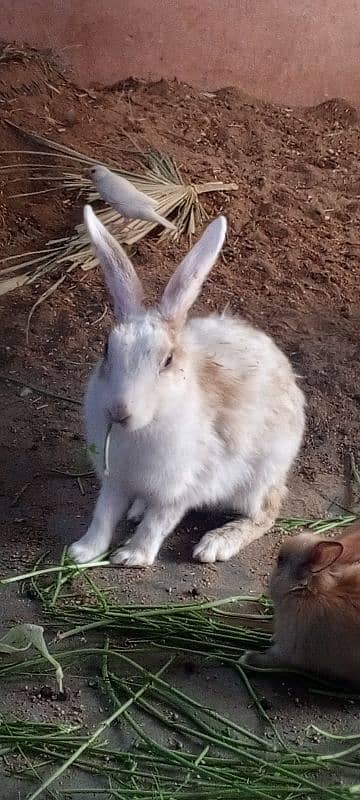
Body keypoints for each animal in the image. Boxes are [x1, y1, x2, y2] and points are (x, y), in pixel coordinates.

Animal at [69, 208, 306, 568]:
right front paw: (82, 552)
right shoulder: (116, 480)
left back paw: (216, 544)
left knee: (265, 515)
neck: (142, 428)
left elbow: (158, 523)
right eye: (106, 348)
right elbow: (103, 515)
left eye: (167, 360)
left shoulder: (179, 488)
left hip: (258, 480)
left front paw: (132, 556)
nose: (119, 411)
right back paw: (137, 509)